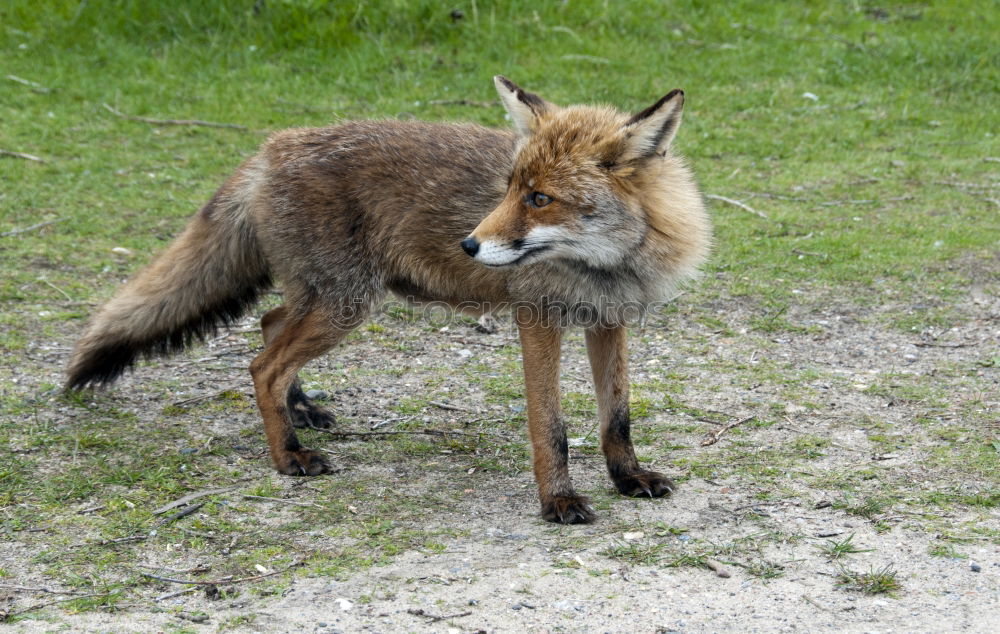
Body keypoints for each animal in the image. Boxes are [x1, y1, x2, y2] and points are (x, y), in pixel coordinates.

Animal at [66, 76, 712, 524]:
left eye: (539, 198)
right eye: (509, 189)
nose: (469, 243)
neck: (606, 268)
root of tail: (272, 146)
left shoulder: (609, 321)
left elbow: (616, 418)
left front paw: (628, 478)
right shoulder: (537, 321)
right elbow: (549, 427)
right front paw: (558, 501)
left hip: (326, 298)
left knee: (270, 326)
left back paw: (302, 411)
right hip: (346, 304)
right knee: (262, 364)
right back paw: (290, 457)